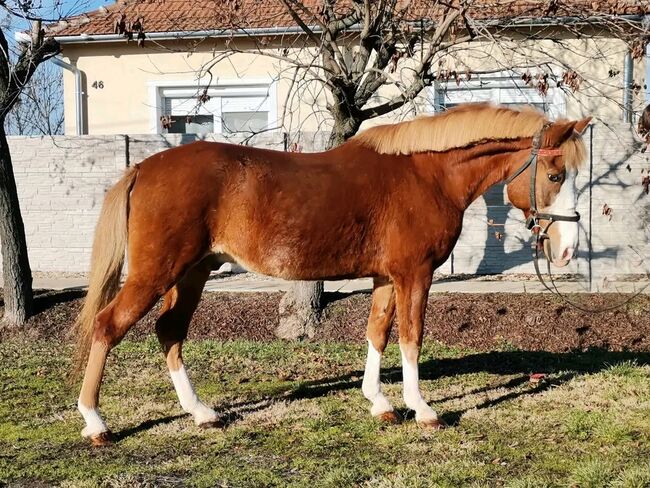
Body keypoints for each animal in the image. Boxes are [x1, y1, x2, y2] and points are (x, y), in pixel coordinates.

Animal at [73, 104, 588, 446]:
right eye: (556, 175)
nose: (566, 251)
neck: (427, 174)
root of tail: (142, 167)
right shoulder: (414, 275)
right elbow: (412, 337)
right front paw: (422, 409)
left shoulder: (387, 278)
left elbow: (378, 333)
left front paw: (379, 403)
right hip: (157, 273)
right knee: (108, 325)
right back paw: (96, 422)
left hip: (192, 273)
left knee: (169, 330)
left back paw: (201, 412)